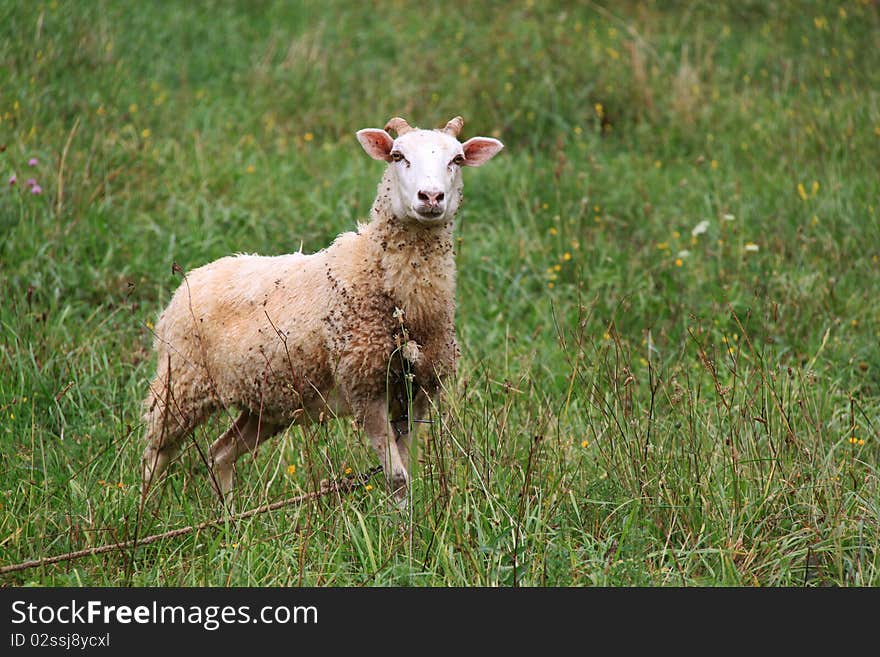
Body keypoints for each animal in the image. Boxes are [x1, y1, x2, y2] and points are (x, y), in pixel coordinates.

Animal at [143, 115, 502, 504]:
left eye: (457, 159)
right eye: (397, 155)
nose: (431, 197)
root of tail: (189, 281)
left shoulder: (418, 394)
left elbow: (406, 472)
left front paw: (408, 519)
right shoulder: (365, 388)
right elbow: (397, 477)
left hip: (266, 403)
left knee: (219, 453)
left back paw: (228, 515)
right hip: (180, 383)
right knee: (155, 454)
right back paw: (143, 510)